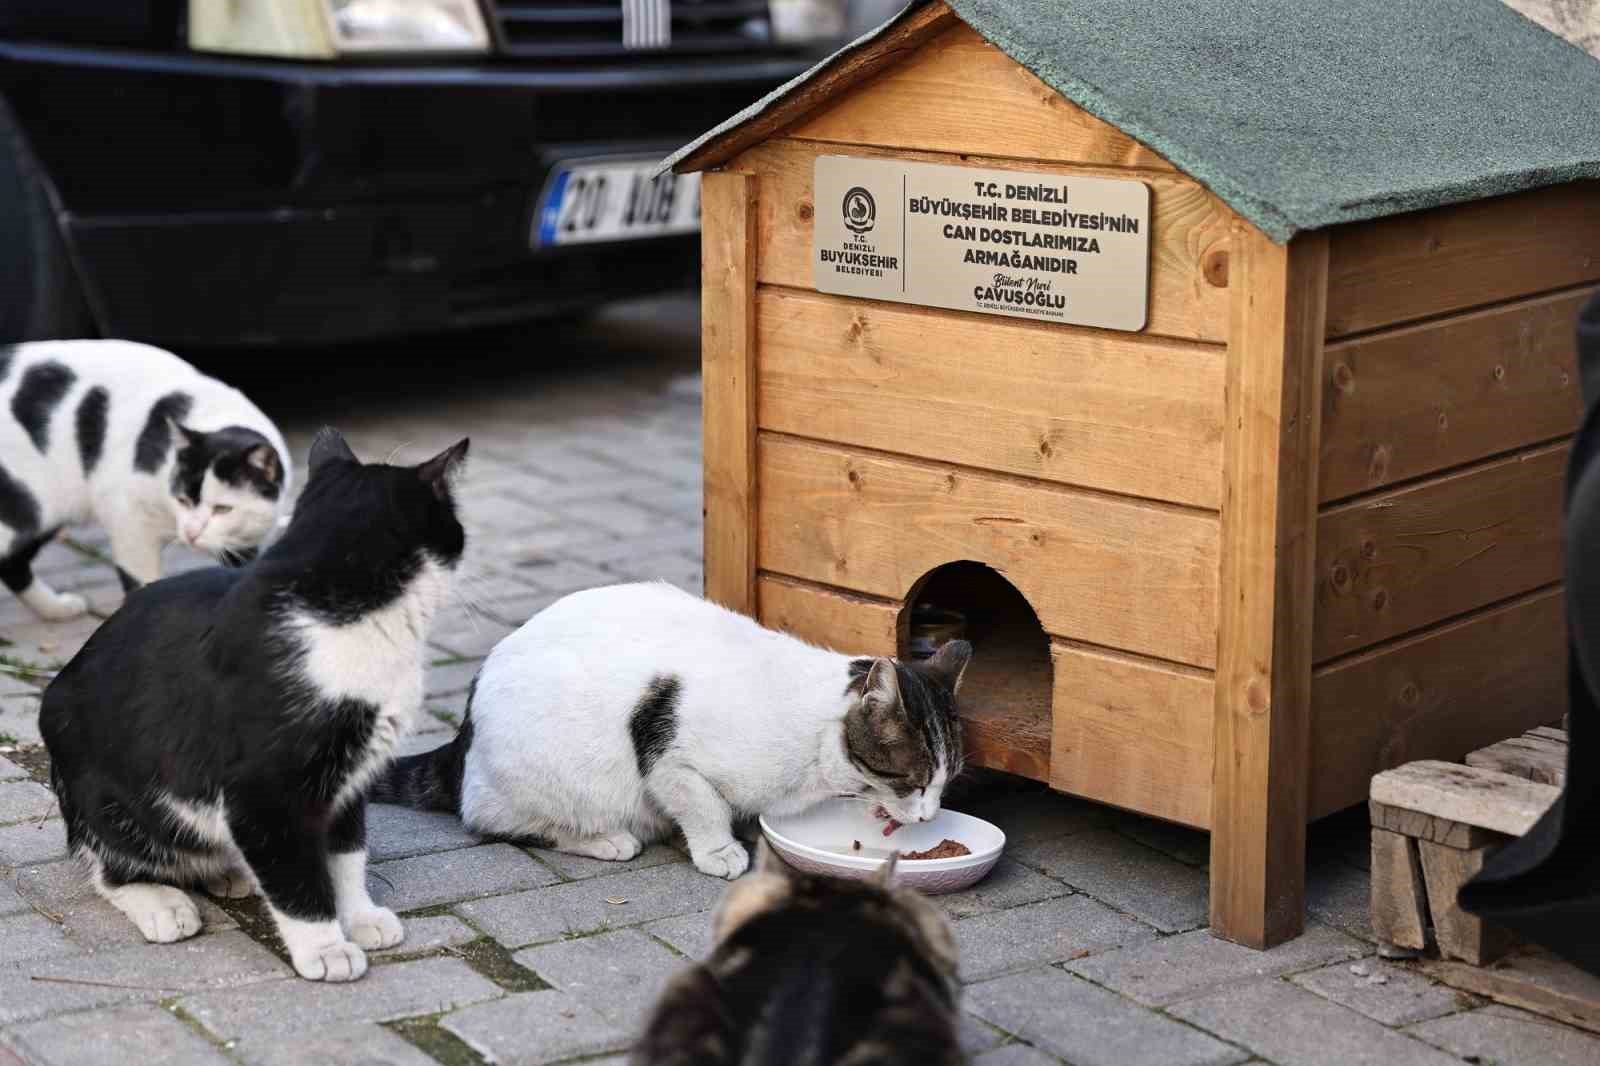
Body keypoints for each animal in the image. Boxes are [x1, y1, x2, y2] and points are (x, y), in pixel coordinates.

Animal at [0, 340, 289, 617]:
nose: (191, 533)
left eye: (223, 509)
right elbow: (144, 582)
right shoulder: (128, 521)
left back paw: (55, 609)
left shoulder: (246, 543)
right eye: (182, 500)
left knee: (12, 564)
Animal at [39, 425, 467, 979]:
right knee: (111, 865)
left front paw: (358, 915)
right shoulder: (262, 787)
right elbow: (294, 871)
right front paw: (324, 947)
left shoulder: (352, 773)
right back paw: (161, 902)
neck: (342, 611)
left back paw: (227, 871)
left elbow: (345, 851)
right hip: (105, 795)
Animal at [376, 582, 972, 877]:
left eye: (944, 784)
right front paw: (719, 851)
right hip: (556, 776)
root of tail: (464, 734)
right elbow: (702, 804)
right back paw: (605, 839)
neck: (816, 755)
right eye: (913, 781)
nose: (929, 816)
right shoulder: (666, 750)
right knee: (491, 819)